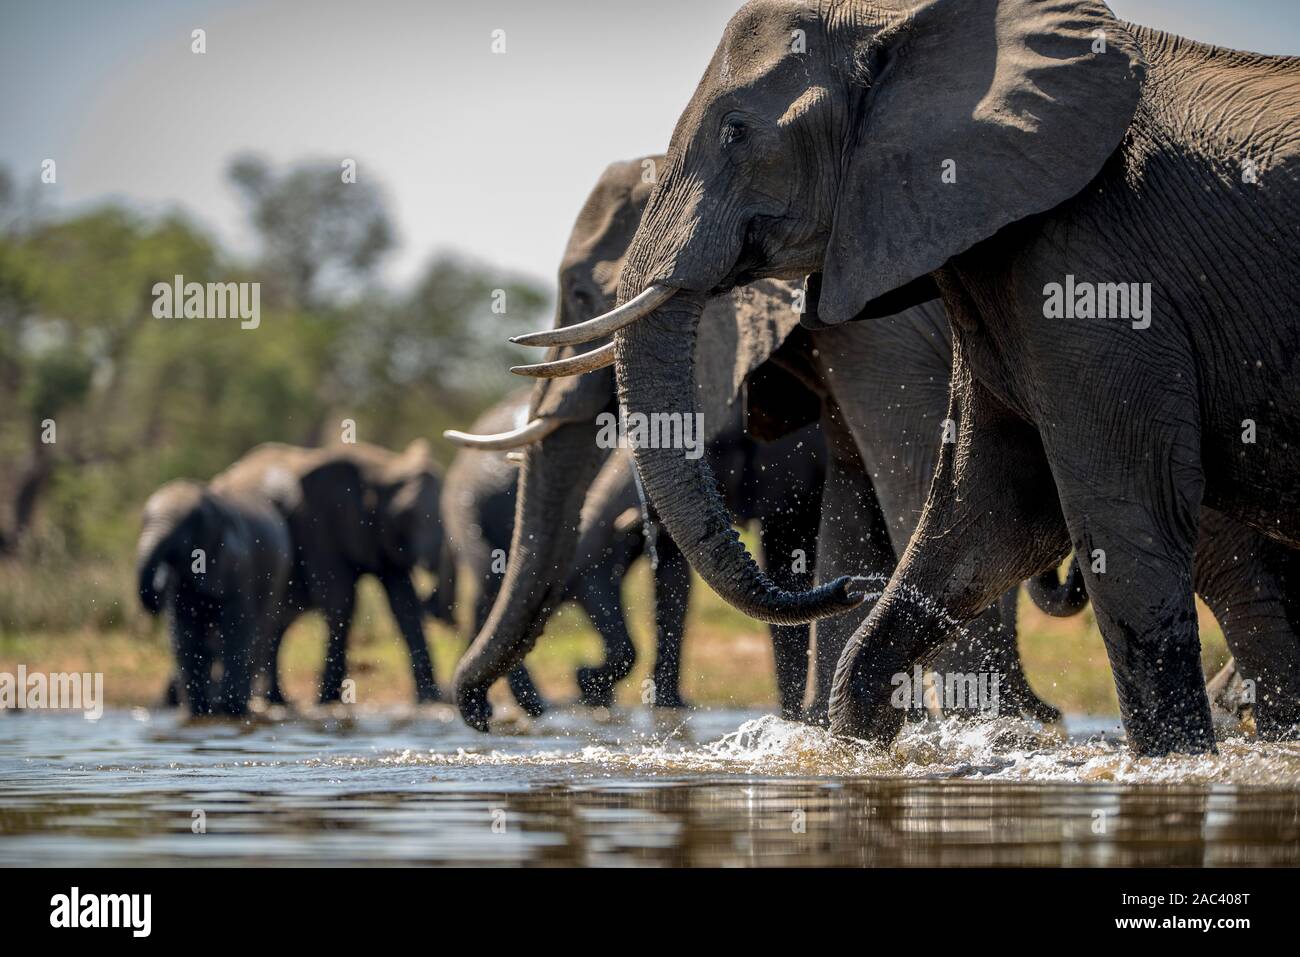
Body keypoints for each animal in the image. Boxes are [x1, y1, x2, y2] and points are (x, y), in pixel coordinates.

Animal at [135, 462, 291, 712]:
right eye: (143, 521)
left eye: (185, 528)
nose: (159, 582)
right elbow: (184, 632)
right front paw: (198, 710)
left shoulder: (238, 563)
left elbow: (236, 626)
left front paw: (229, 708)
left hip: (278, 575)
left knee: (260, 632)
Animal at [447, 153, 1055, 728]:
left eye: (580, 293)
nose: (483, 717)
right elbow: (843, 514)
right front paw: (816, 728)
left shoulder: (881, 340)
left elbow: (906, 491)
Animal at [533, 0, 1300, 754]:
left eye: (736, 130)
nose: (853, 587)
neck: (904, 20)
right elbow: (984, 512)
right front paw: (855, 747)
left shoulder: (1091, 274)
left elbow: (1118, 511)